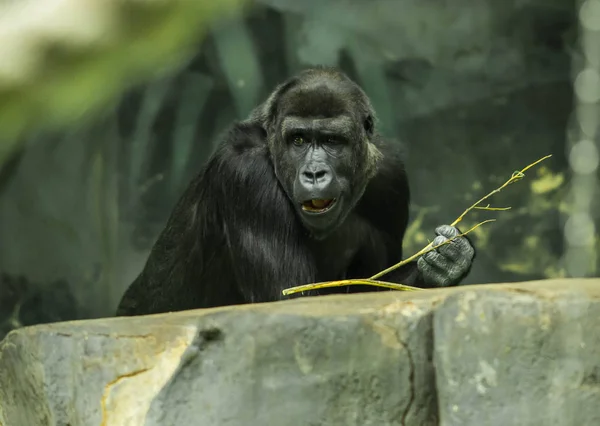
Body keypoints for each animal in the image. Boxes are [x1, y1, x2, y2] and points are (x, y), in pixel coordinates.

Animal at [116, 67, 474, 316]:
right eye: (298, 140)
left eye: (332, 141)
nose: (314, 173)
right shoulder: (247, 174)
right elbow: (292, 300)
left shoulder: (390, 177)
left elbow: (377, 284)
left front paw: (444, 265)